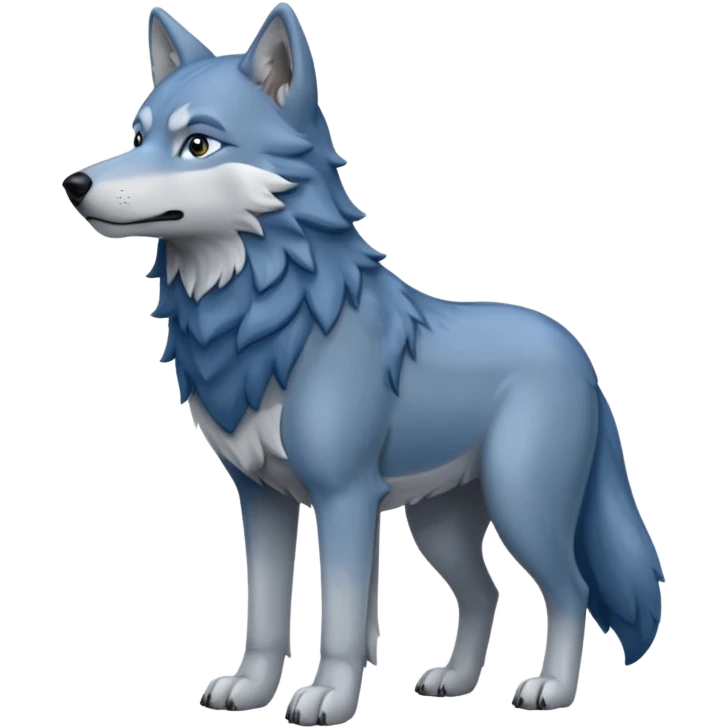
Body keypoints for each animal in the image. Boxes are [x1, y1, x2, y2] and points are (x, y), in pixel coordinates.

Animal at [62, 3, 664, 722]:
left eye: (199, 145)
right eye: (138, 134)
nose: (75, 183)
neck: (272, 321)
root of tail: (575, 348)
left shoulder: (345, 496)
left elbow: (343, 619)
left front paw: (328, 697)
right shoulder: (260, 498)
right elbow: (264, 614)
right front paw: (250, 691)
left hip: (523, 507)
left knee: (570, 590)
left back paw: (550, 690)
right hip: (440, 525)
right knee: (485, 592)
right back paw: (453, 682)